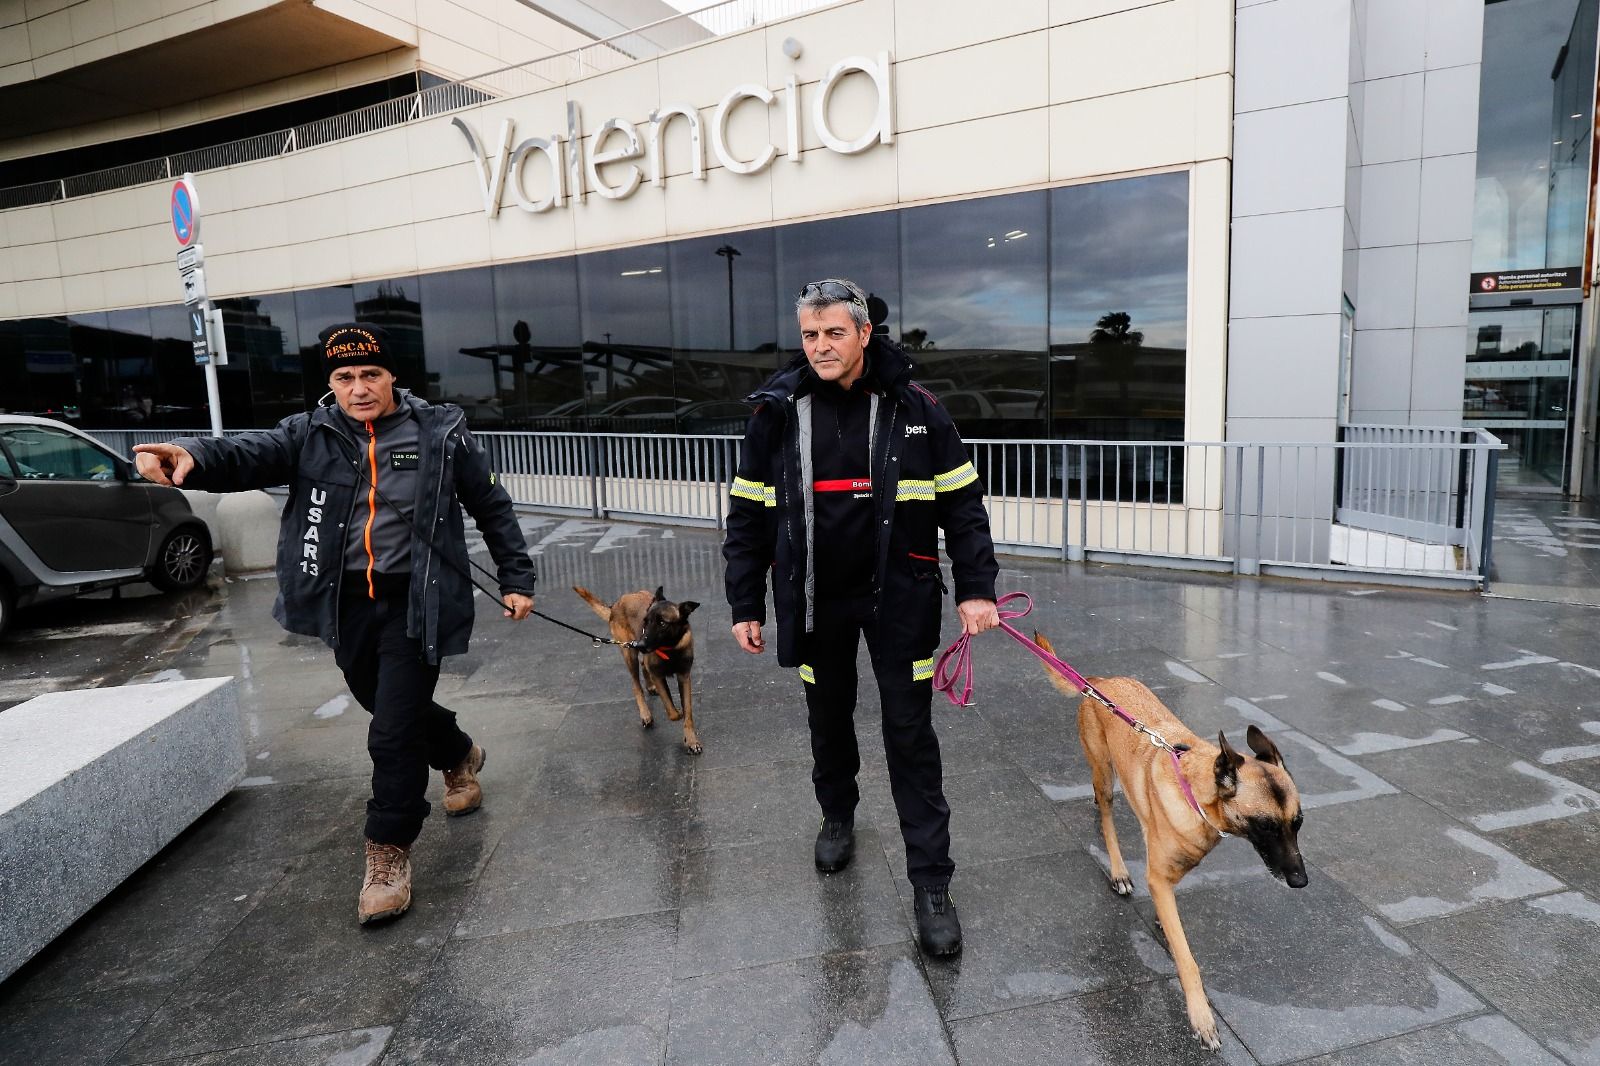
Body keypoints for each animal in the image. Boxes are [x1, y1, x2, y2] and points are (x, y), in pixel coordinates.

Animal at [576, 585, 700, 752]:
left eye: (662, 623)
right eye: (645, 622)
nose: (640, 644)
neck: (671, 648)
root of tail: (616, 604)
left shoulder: (684, 677)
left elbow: (688, 713)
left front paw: (691, 740)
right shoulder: (658, 676)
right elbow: (672, 711)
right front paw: (677, 713)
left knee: (643, 665)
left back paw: (650, 687)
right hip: (629, 654)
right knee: (636, 685)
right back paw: (645, 714)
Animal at [1030, 630, 1305, 1043]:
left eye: (1298, 823)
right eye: (1266, 826)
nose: (1301, 881)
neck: (1197, 791)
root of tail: (1099, 682)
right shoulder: (1159, 876)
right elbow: (1187, 958)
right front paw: (1201, 1015)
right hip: (1103, 771)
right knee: (1107, 817)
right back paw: (1118, 870)